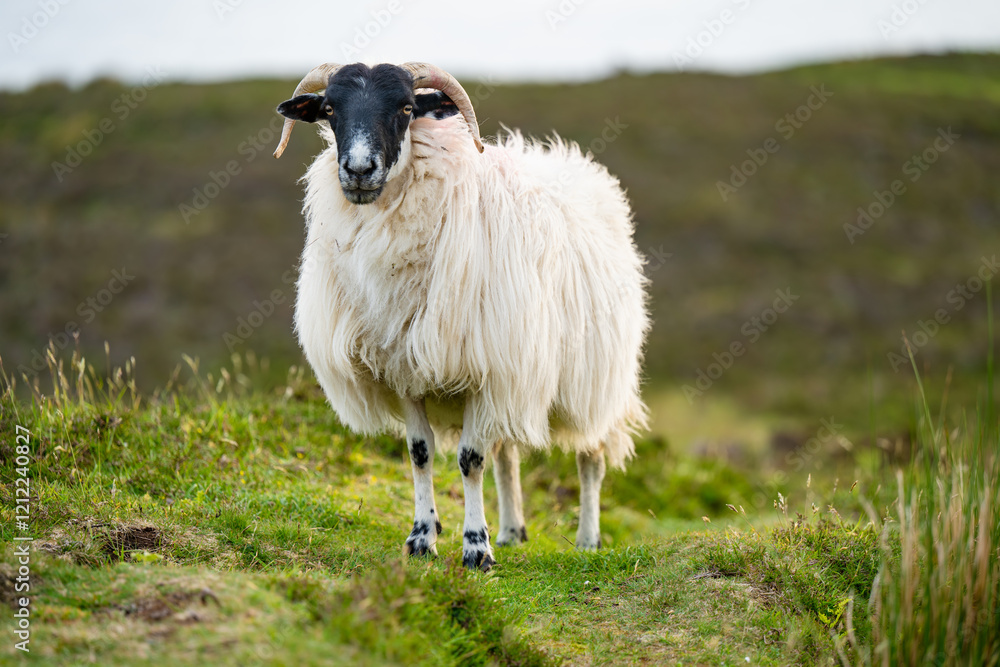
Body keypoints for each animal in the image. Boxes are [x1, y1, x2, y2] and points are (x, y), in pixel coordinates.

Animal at [273, 62, 649, 571]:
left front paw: (476, 548)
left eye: (406, 108)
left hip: (592, 378)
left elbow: (470, 460)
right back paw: (511, 531)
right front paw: (422, 538)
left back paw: (586, 539)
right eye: (330, 109)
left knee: (591, 457)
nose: (358, 170)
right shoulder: (405, 371)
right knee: (507, 454)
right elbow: (420, 454)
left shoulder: (485, 370)